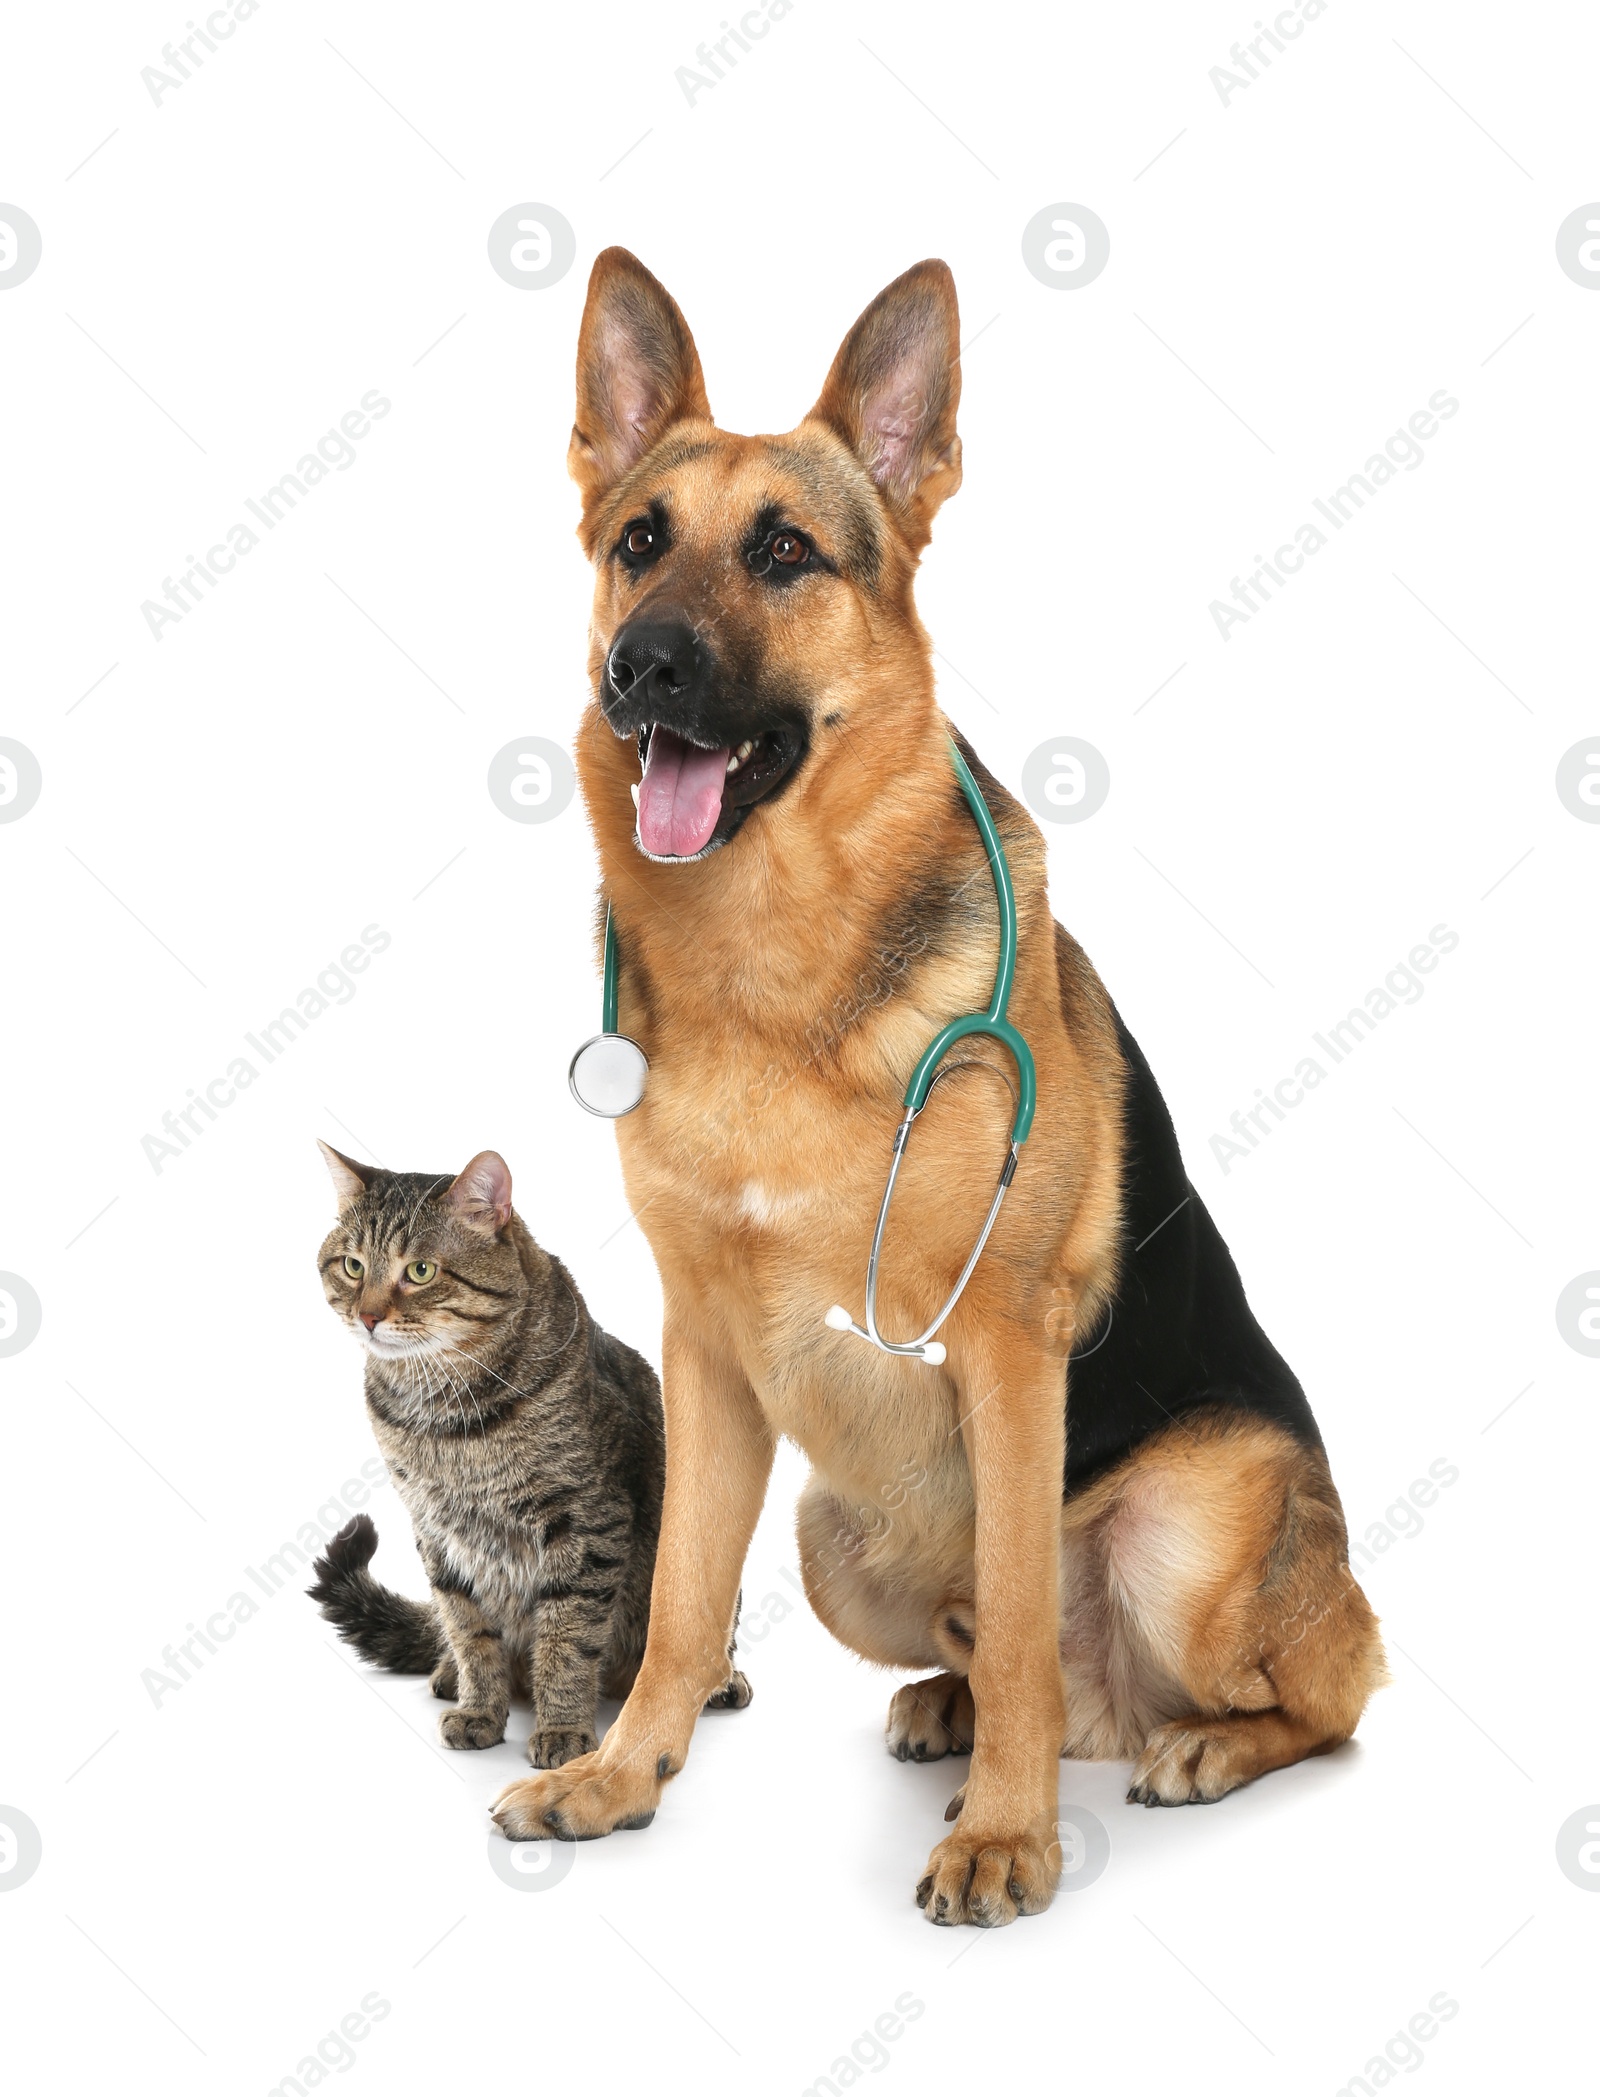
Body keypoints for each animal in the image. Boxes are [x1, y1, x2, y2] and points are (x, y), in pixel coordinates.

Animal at [310, 1140, 750, 1761]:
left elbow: (568, 1637)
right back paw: (449, 1672)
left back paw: (721, 1680)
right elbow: (468, 1629)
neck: (442, 1413)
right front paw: (480, 1708)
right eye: (353, 1266)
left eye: (420, 1271)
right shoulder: (436, 1530)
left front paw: (563, 1727)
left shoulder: (587, 1521)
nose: (368, 1316)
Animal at [490, 253, 1392, 1920]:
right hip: (836, 1534)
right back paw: (956, 1714)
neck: (771, 972)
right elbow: (680, 1602)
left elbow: (1030, 1618)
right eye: (641, 542)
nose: (640, 668)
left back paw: (1184, 1748)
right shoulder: (708, 1354)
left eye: (785, 551)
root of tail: (1129, 1707)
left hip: (1190, 1524)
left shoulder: (1006, 1345)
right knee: (1006, 1651)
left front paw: (1007, 1840)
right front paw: (622, 1776)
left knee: (1313, 1688)